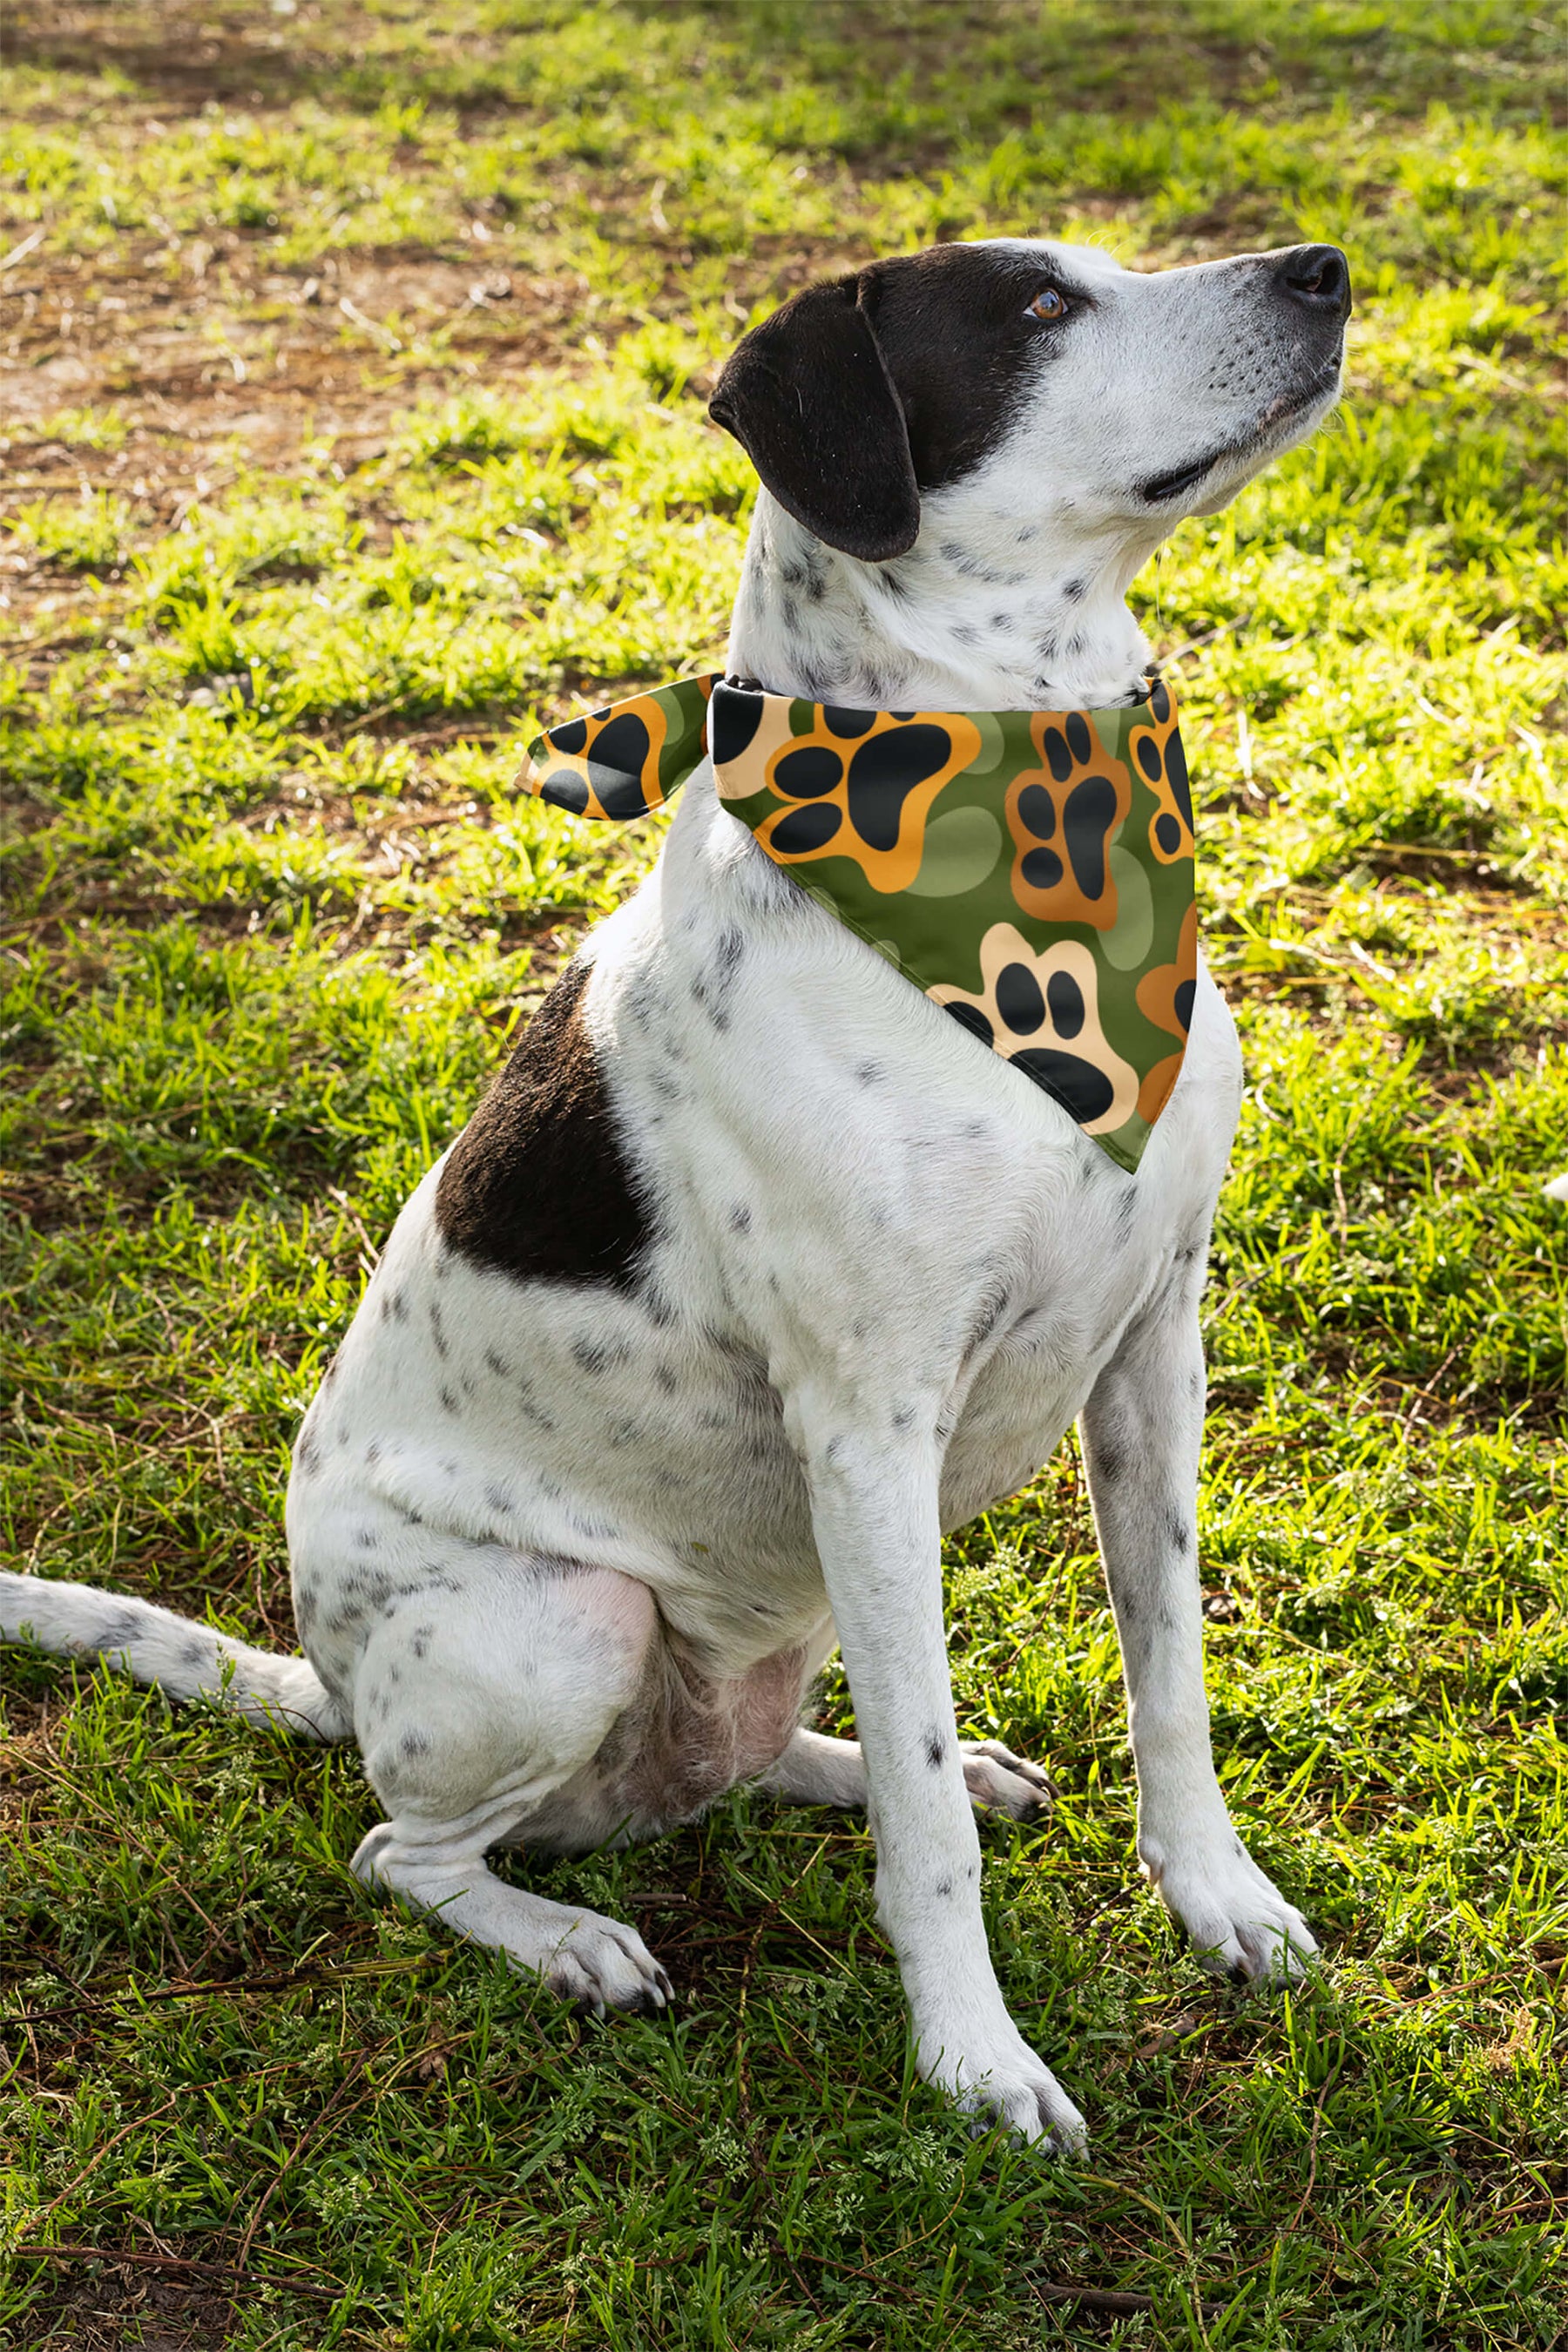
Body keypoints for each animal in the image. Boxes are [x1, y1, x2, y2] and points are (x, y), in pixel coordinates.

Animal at [0, 233, 1354, 2154]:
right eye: (1034, 309)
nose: (1320, 268)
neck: (1013, 817)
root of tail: (327, 1686)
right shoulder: (869, 1426)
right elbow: (926, 1848)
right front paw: (974, 2063)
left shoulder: (1154, 1344)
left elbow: (1171, 1682)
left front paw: (1217, 1900)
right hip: (561, 1624)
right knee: (404, 1852)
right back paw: (566, 1939)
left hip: (760, 1619)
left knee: (762, 1748)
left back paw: (875, 1768)